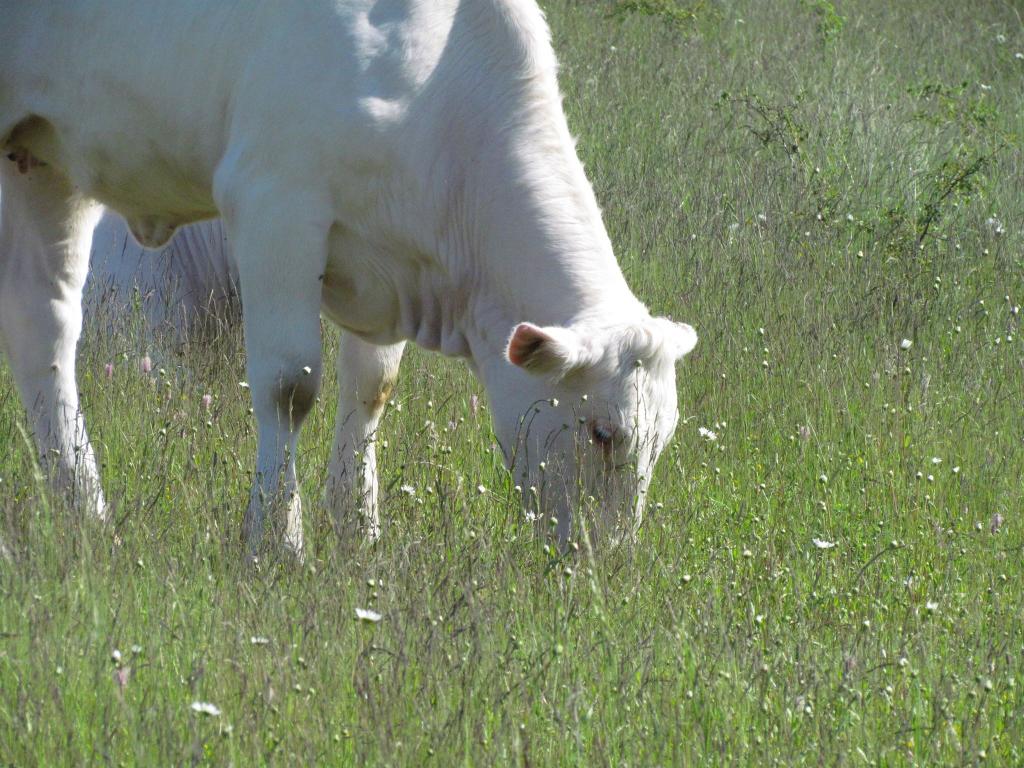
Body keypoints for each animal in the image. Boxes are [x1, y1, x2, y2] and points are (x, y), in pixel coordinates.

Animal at [0, 0, 696, 552]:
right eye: (604, 433)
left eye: (664, 440)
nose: (608, 559)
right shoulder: (275, 204)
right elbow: (288, 385)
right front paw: (277, 541)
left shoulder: (382, 264)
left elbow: (371, 387)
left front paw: (357, 529)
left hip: (42, 166)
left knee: (44, 331)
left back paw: (82, 512)